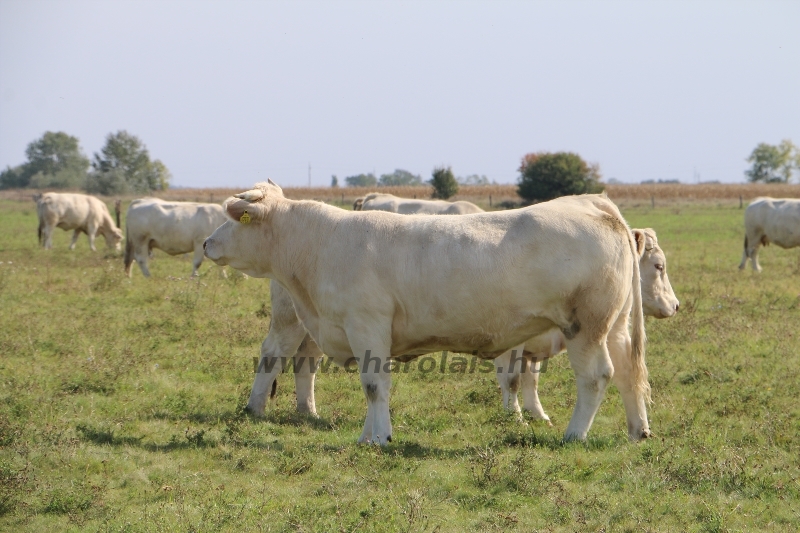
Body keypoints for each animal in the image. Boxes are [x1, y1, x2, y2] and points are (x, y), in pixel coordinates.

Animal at [203, 181, 652, 442]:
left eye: (234, 219)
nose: (206, 243)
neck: (319, 244)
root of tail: (593, 203)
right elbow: (372, 386)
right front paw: (367, 435)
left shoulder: (367, 325)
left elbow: (374, 384)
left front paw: (379, 438)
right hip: (615, 324)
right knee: (628, 373)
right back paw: (637, 431)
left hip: (585, 325)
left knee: (596, 377)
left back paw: (574, 434)